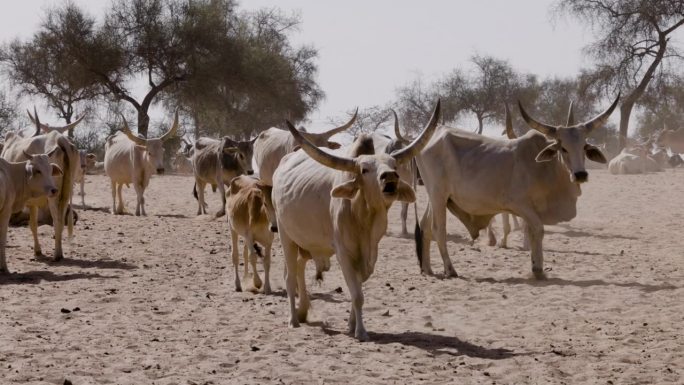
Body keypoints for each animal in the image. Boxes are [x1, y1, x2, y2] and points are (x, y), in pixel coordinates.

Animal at [1, 111, 78, 260]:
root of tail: (60, 139)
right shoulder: (32, 202)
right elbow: (33, 225)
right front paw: (37, 251)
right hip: (66, 193)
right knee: (61, 219)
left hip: (54, 195)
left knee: (57, 220)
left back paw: (57, 254)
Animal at [272, 100, 438, 340]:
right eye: (364, 169)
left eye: (394, 166)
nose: (390, 177)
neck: (363, 217)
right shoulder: (344, 253)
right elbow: (357, 294)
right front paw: (361, 331)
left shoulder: (370, 254)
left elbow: (356, 289)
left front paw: (351, 325)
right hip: (286, 236)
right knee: (290, 276)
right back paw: (293, 320)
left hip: (306, 242)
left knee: (299, 268)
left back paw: (303, 311)